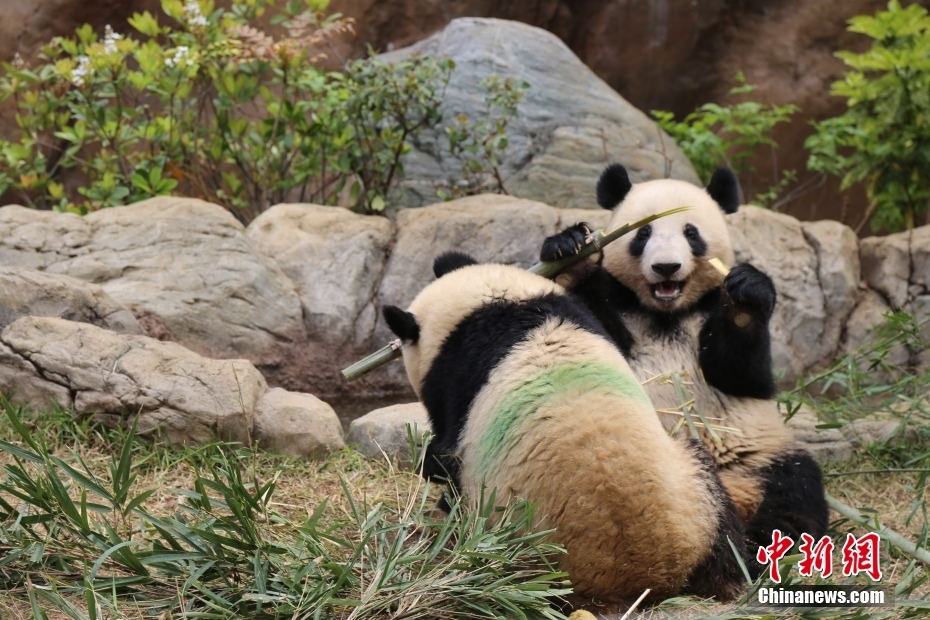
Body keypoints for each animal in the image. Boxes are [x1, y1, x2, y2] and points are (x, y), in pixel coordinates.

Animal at [382, 251, 748, 603]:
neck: (490, 305)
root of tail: (646, 572)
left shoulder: (455, 380)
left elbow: (447, 457)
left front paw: (433, 470)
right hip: (696, 492)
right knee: (726, 539)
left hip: (515, 542)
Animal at [539, 163, 829, 552]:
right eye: (643, 233)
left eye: (691, 233)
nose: (666, 267)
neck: (668, 313)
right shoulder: (622, 306)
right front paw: (573, 256)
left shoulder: (708, 313)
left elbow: (743, 375)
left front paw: (746, 300)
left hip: (762, 455)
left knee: (795, 487)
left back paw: (759, 543)